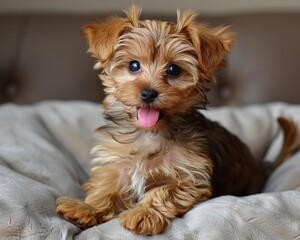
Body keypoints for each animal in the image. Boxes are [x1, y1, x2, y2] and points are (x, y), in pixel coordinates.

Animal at [55, 5, 298, 234]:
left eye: (174, 69)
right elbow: (107, 186)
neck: (151, 132)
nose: (148, 93)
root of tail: (262, 168)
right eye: (133, 65)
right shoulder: (118, 164)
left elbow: (163, 191)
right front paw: (87, 208)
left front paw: (142, 214)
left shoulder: (190, 176)